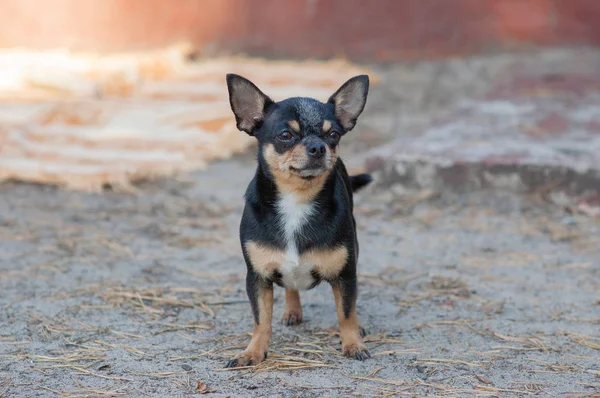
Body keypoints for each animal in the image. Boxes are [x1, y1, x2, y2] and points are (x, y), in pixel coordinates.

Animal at [225, 72, 372, 366]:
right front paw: (253, 352)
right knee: (290, 286)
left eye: (333, 134)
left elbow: (346, 312)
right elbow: (261, 320)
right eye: (286, 135)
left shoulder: (345, 275)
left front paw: (353, 343)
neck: (297, 201)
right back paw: (292, 311)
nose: (318, 146)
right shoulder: (257, 278)